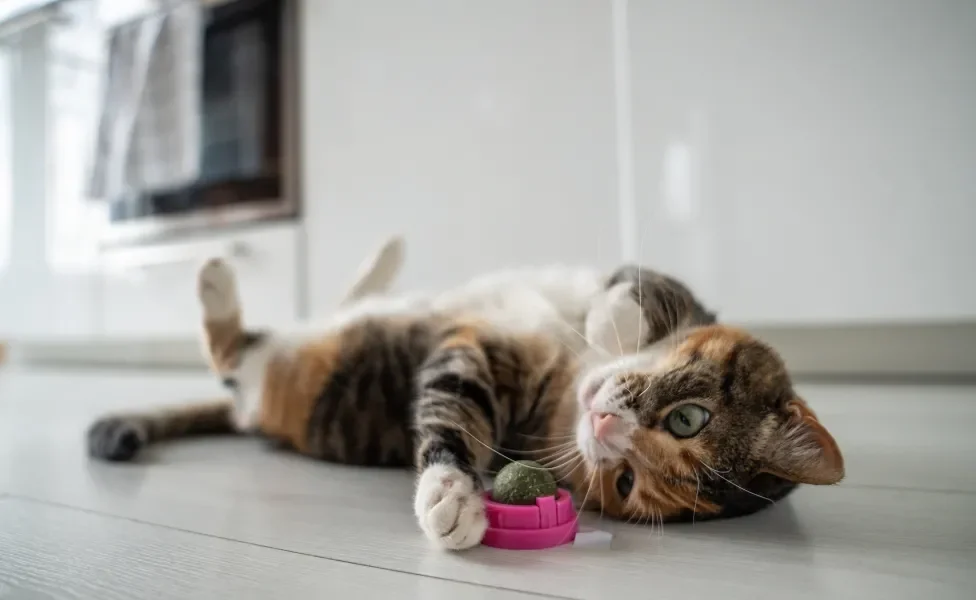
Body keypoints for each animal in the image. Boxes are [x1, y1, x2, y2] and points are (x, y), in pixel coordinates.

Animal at [87, 245, 844, 552]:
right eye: (689, 418)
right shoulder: (663, 293)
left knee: (230, 349)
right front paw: (609, 321)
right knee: (334, 305)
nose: (604, 425)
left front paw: (450, 499)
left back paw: (217, 284)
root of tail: (249, 414)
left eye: (626, 482)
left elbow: (450, 412)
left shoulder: (482, 370)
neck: (571, 373)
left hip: (274, 370)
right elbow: (641, 287)